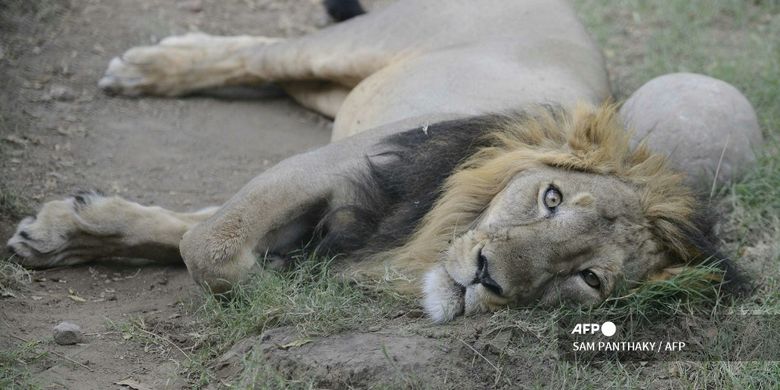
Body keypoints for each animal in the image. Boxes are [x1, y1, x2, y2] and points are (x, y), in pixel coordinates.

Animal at [6, 0, 748, 322]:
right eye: (551, 198)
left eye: (589, 278)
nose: (487, 275)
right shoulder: (326, 164)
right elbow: (209, 247)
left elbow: (190, 232)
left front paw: (66, 231)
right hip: (343, 51)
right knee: (260, 54)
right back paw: (147, 68)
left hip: (338, 89)